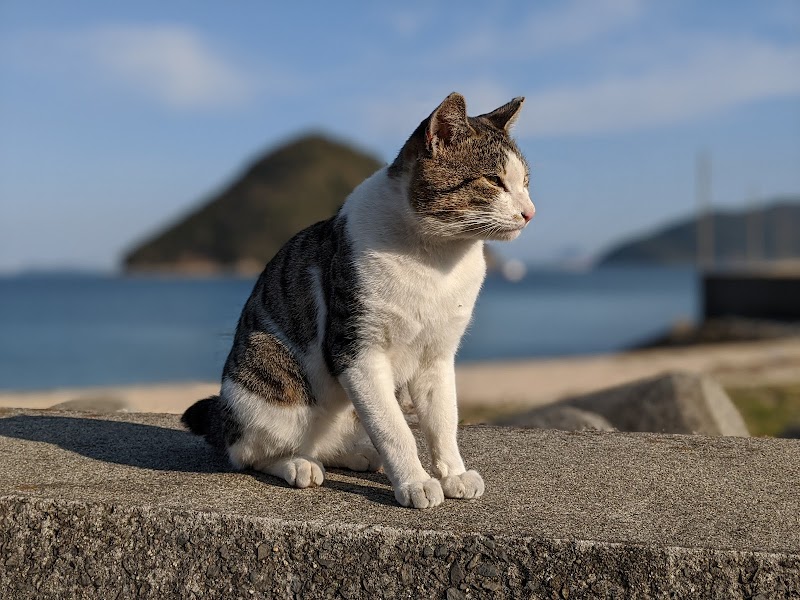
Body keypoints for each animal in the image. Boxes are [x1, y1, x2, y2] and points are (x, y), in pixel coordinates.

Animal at [180, 91, 532, 508]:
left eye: (526, 182)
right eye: (493, 180)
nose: (529, 212)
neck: (435, 257)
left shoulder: (438, 356)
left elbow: (443, 421)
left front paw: (453, 474)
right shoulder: (357, 351)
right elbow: (394, 428)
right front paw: (415, 482)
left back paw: (354, 455)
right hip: (268, 384)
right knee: (248, 453)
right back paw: (297, 464)